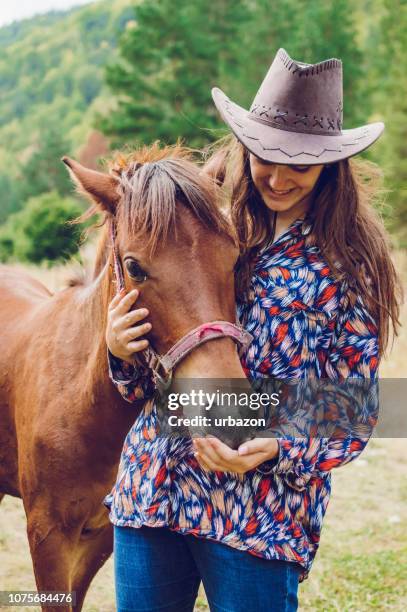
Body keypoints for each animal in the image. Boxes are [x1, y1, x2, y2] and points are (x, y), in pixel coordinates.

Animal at [0, 142, 249, 608]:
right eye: (134, 268)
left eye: (236, 257)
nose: (230, 411)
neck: (81, 397)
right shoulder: (47, 536)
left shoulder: (100, 536)